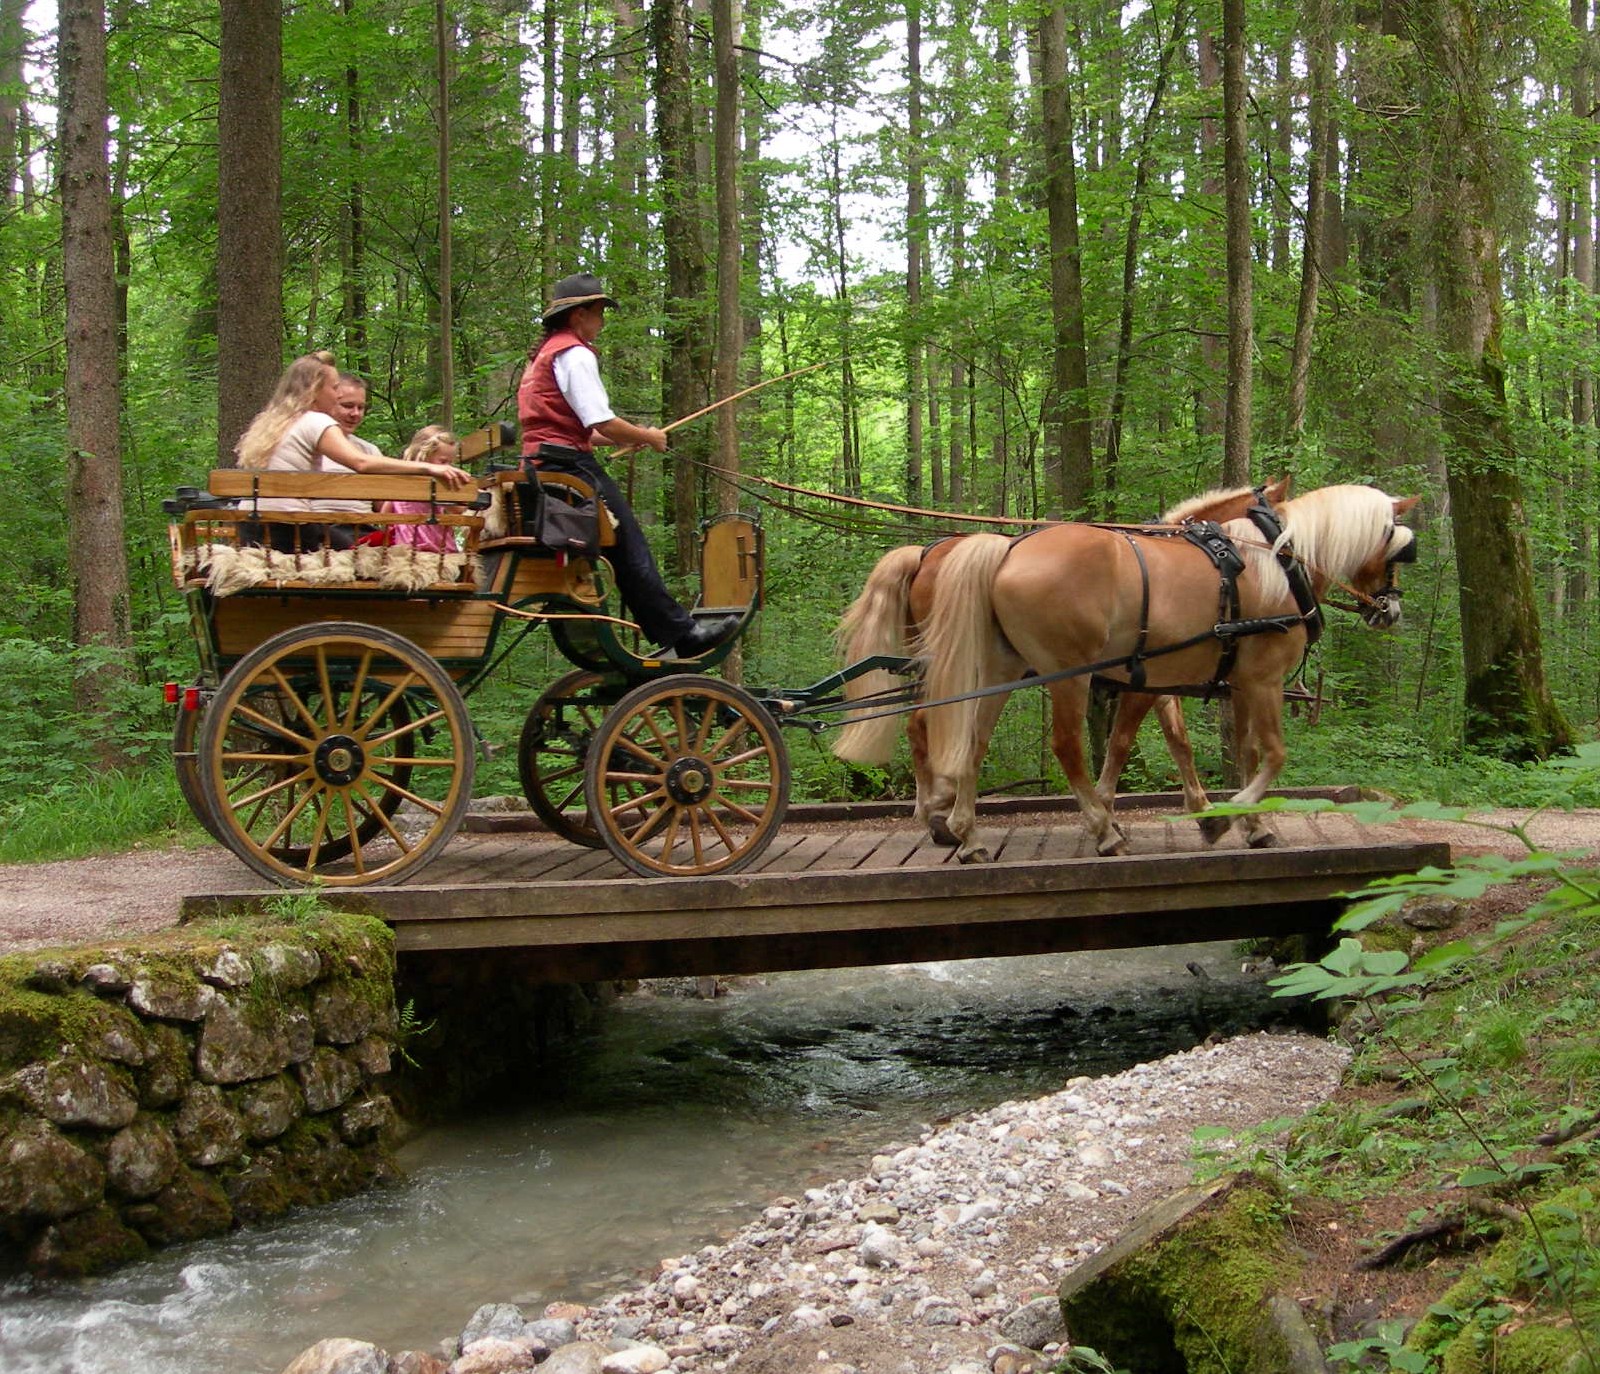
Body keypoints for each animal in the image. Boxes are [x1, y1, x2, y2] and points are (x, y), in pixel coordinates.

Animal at [832, 479, 1292, 850]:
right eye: (1274, 522)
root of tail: (926, 554)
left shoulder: (1159, 682)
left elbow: (1178, 742)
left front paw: (1202, 809)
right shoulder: (1144, 682)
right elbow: (1124, 741)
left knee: (926, 726)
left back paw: (940, 812)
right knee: (930, 726)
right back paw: (939, 812)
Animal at [915, 486, 1414, 857]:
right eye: (1397, 551)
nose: (1390, 610)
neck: (1279, 561)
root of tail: (1007, 549)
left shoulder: (1234, 684)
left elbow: (1240, 752)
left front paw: (1250, 825)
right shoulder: (1261, 681)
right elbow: (1272, 754)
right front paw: (1223, 818)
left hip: (1003, 668)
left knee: (973, 738)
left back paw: (967, 834)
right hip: (1068, 674)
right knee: (1065, 745)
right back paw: (1102, 832)